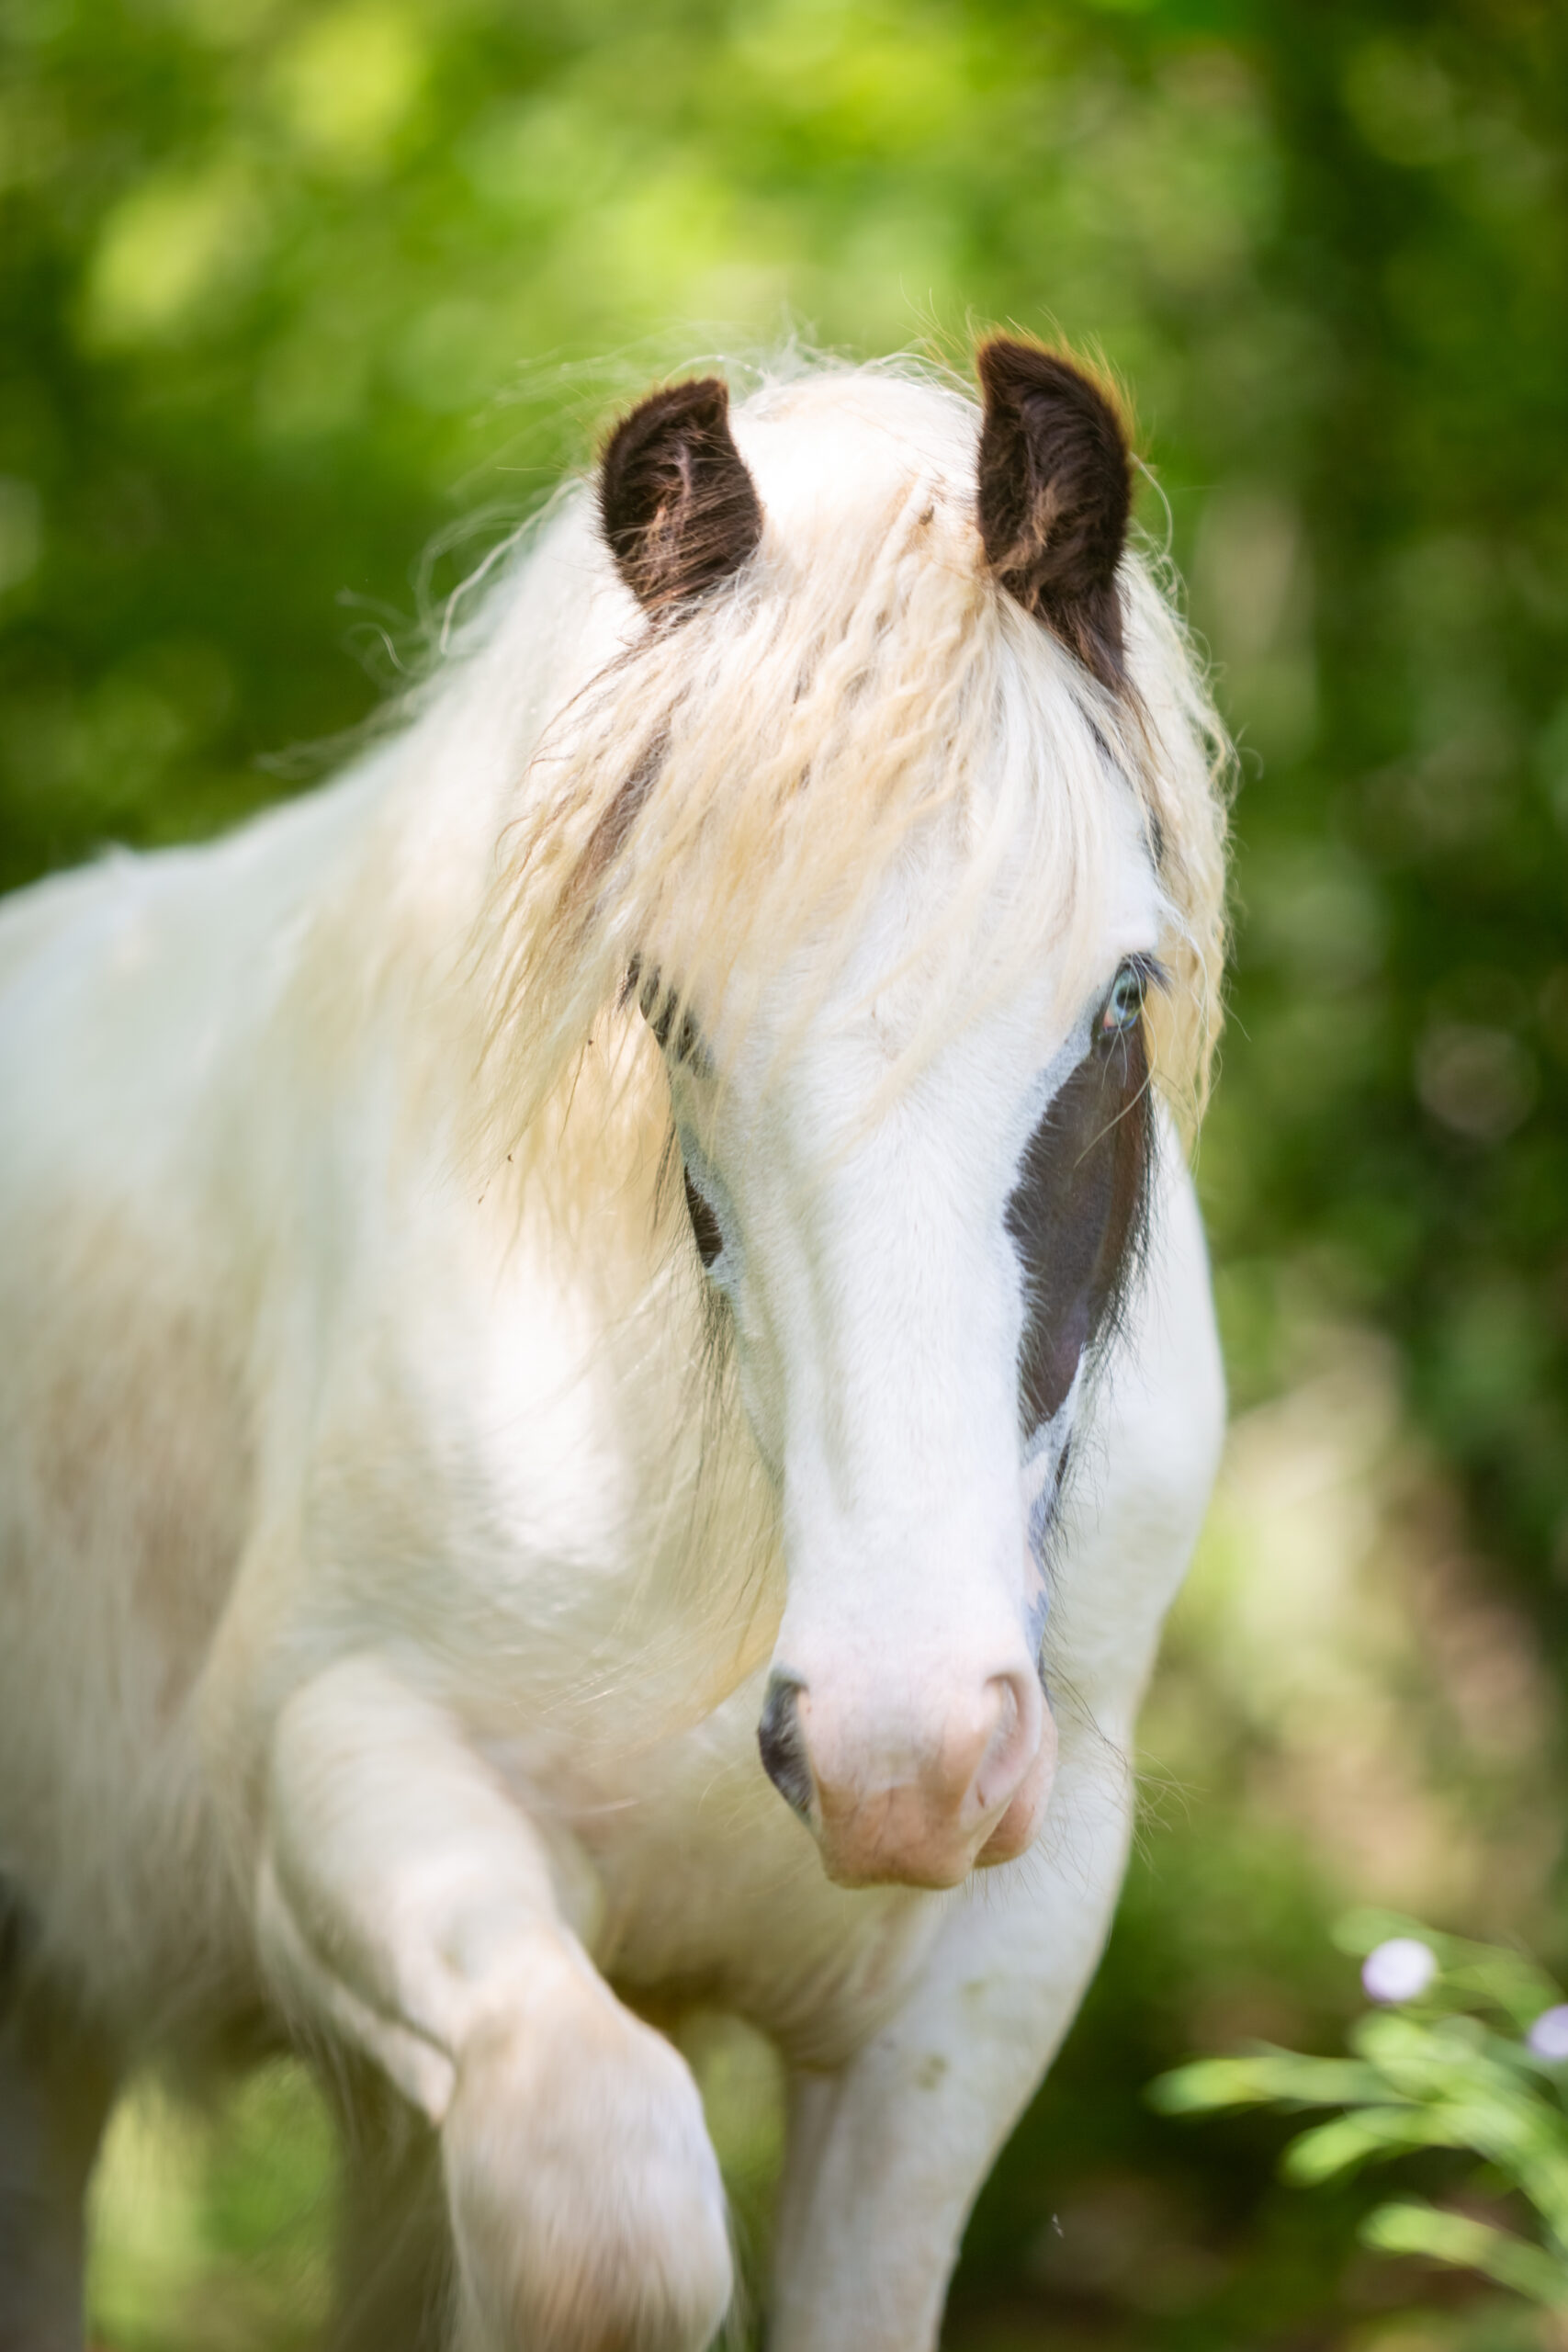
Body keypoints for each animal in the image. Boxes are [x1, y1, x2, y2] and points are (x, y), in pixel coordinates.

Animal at [0, 338, 1229, 2352]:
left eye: (1120, 997)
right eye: (661, 1010)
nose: (898, 1749)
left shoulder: (972, 1981)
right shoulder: (351, 1776)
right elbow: (609, 2223)